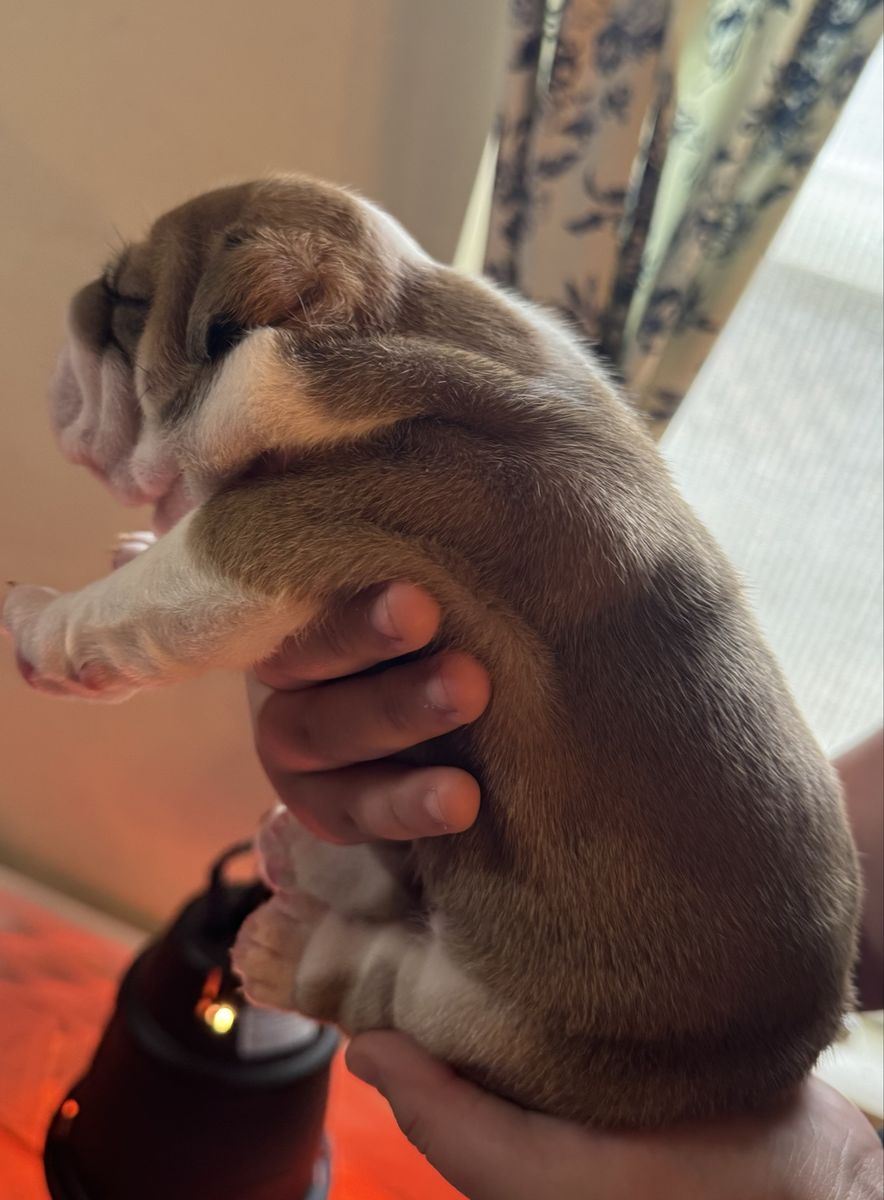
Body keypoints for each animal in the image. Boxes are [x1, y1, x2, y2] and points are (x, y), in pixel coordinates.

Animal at [2, 176, 860, 1128]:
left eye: (124, 298)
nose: (77, 306)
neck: (396, 322)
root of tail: (795, 1051)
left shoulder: (290, 525)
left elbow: (158, 582)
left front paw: (41, 624)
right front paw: (129, 545)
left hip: (516, 1028)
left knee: (386, 984)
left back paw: (284, 946)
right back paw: (300, 858)